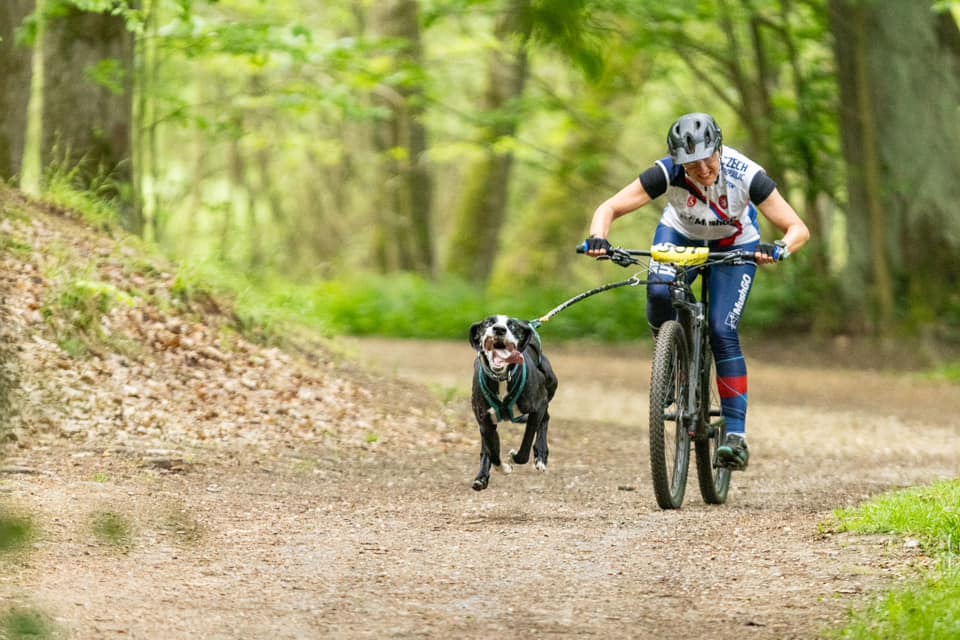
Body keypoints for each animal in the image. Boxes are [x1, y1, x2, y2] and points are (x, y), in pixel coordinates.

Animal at [468, 316, 560, 490]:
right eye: (488, 323)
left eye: (513, 326)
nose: (499, 329)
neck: (502, 378)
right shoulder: (485, 422)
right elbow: (493, 453)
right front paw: (503, 468)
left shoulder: (538, 405)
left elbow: (525, 448)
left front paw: (514, 458)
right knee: (486, 448)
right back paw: (481, 478)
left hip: (550, 385)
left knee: (546, 418)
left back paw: (541, 456)